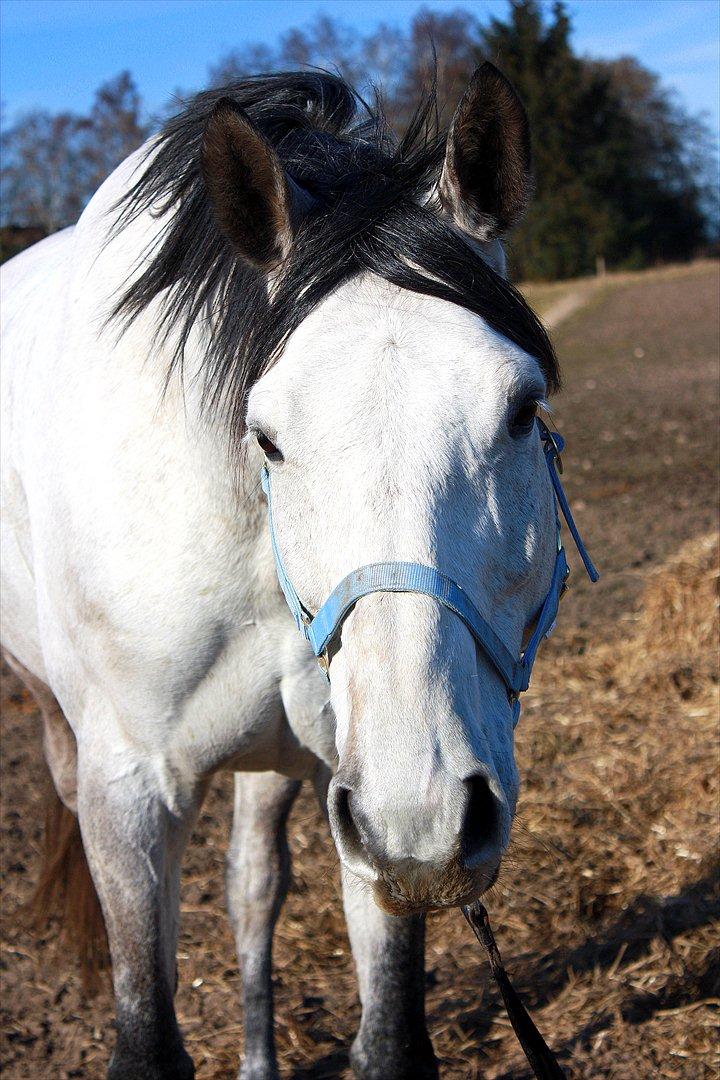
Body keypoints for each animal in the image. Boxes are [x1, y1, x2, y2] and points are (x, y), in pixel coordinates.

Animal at [2, 67, 569, 1080]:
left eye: (521, 408)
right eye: (266, 435)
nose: (427, 806)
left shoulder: (368, 807)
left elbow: (385, 1032)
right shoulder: (128, 788)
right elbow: (144, 1031)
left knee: (252, 886)